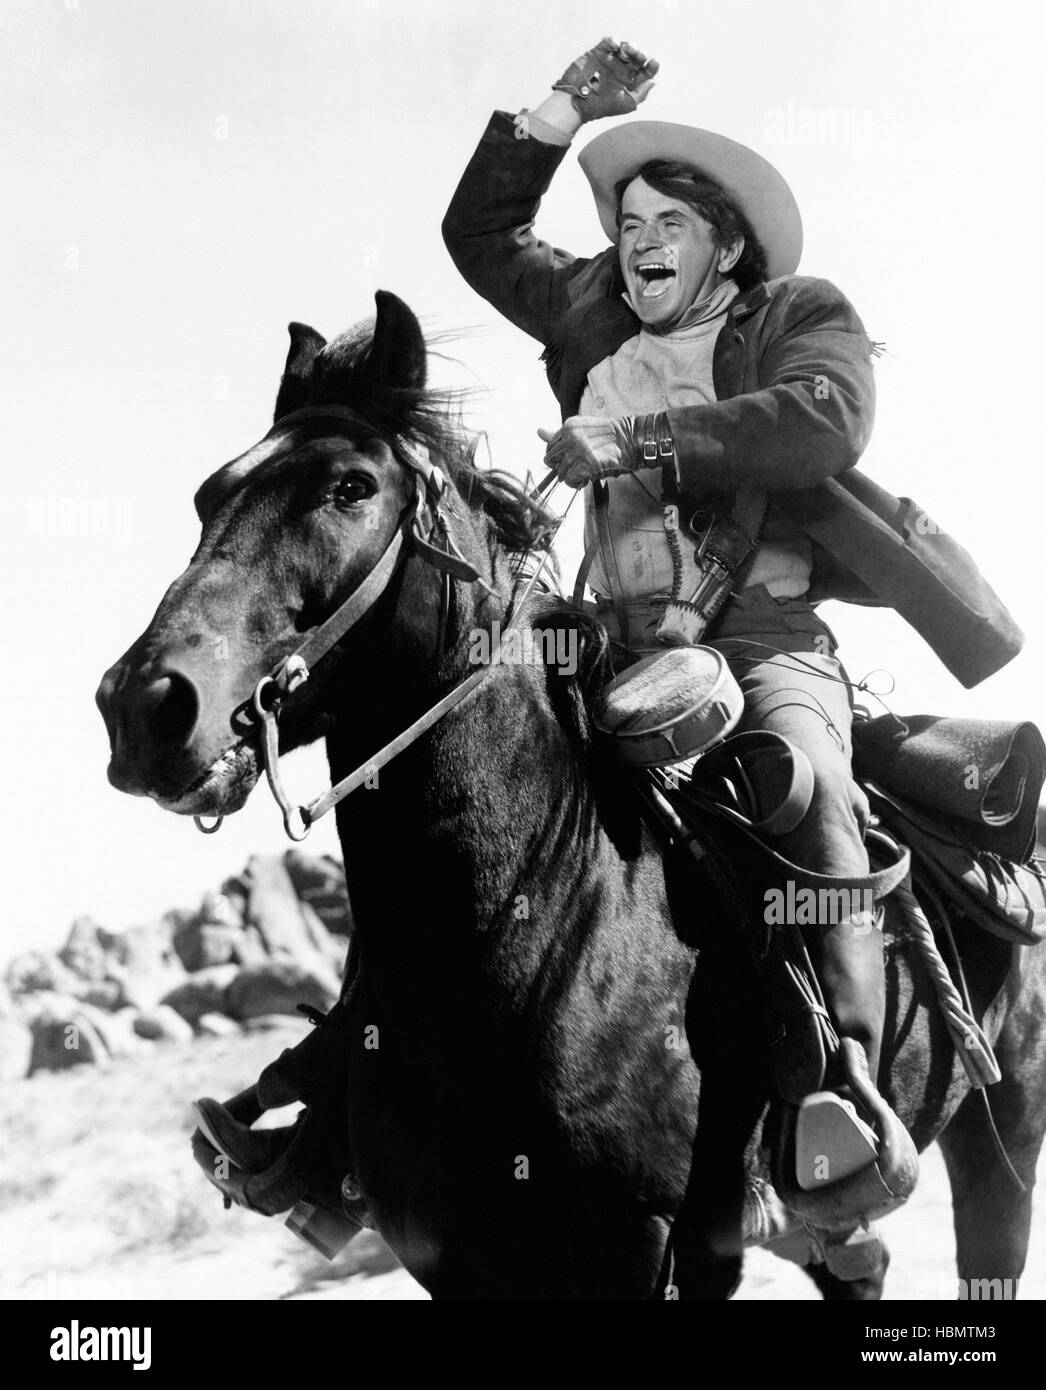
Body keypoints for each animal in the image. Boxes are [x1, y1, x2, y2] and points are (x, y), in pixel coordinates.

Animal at [95, 287, 1044, 1295]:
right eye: (208, 497)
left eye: (350, 487)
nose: (145, 705)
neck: (530, 926)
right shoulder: (450, 1257)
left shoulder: (653, 1249)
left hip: (1005, 1142)